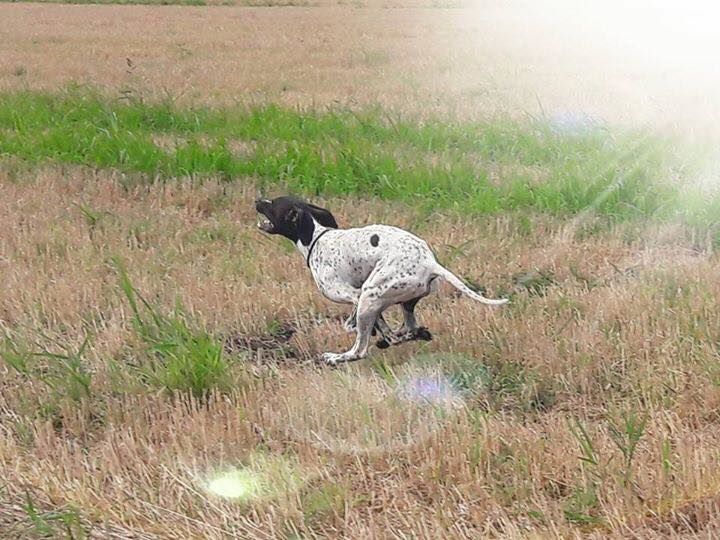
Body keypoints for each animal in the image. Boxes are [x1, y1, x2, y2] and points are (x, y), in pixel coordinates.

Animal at [253, 196, 506, 364]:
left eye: (273, 204)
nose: (258, 199)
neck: (317, 239)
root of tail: (430, 262)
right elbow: (382, 327)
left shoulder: (356, 295)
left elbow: (372, 327)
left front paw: (373, 333)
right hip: (404, 301)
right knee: (410, 327)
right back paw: (413, 334)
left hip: (371, 294)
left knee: (360, 350)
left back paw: (338, 357)